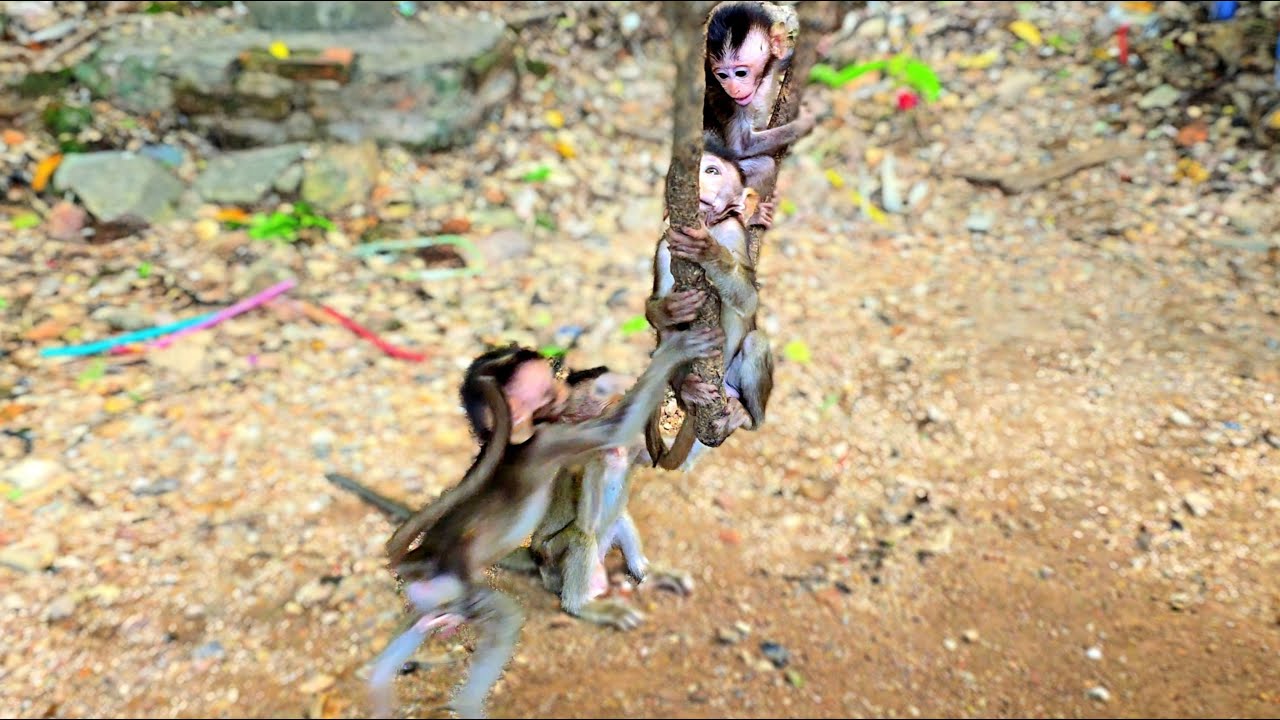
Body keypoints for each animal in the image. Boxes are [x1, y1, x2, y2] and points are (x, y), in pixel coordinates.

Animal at [366, 327, 723, 719]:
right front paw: (677, 349)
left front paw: (704, 395)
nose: (565, 380)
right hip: (485, 581)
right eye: (555, 392)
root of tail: (419, 559)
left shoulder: (624, 448)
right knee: (566, 554)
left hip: (433, 598)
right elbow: (611, 435)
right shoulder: (557, 441)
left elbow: (673, 460)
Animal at [644, 140, 775, 472]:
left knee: (755, 341)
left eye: (712, 171)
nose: (698, 184)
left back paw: (748, 417)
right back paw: (686, 391)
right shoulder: (664, 247)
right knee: (665, 344)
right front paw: (671, 309)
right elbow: (657, 303)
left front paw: (708, 251)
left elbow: (749, 300)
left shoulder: (733, 233)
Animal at [703, 1, 817, 213]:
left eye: (740, 73)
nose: (733, 88)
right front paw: (803, 123)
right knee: (764, 166)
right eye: (722, 75)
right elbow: (743, 145)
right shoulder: (729, 101)